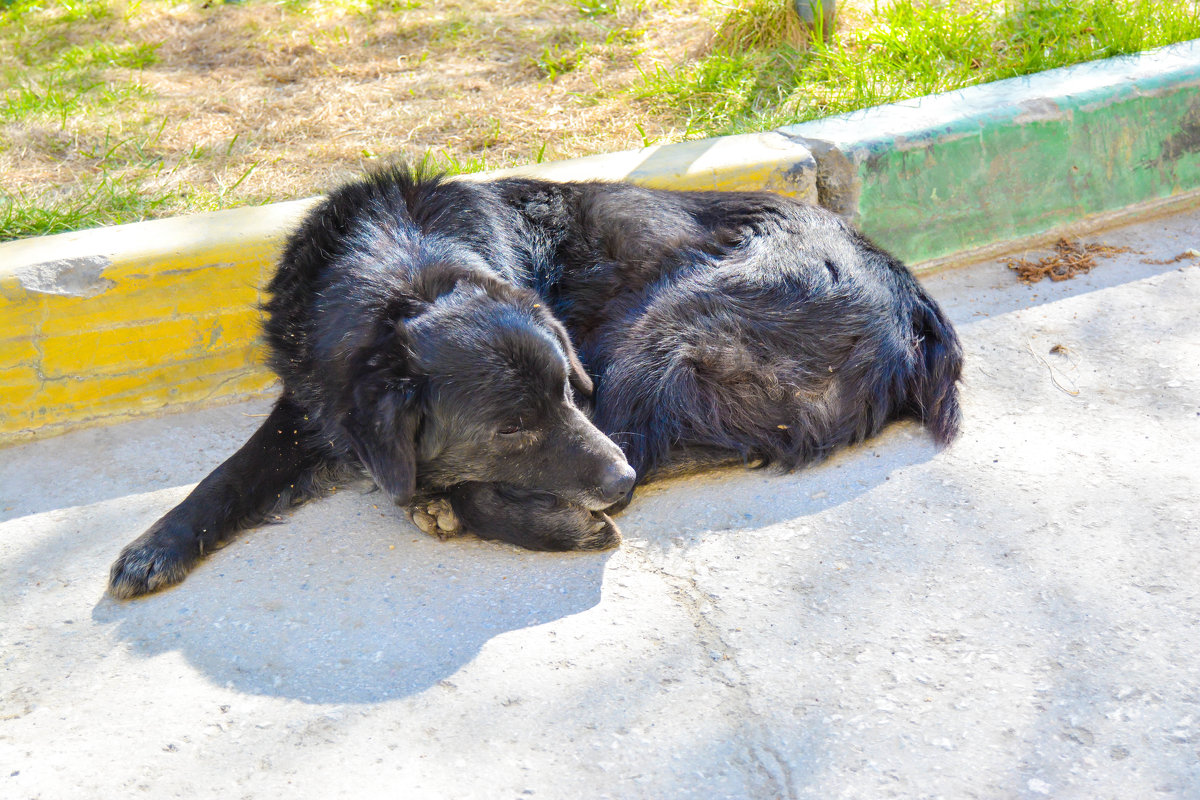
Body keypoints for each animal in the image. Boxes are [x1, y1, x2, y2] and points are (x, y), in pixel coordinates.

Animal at [108, 165, 960, 597]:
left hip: (655, 336)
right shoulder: (314, 396)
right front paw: (159, 543)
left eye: (565, 395)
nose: (615, 486)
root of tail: (904, 287)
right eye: (510, 426)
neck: (397, 270)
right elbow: (232, 472)